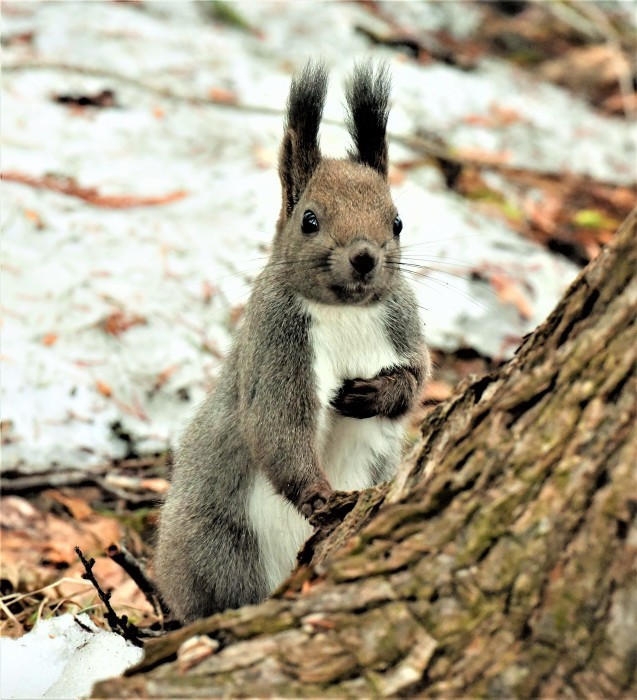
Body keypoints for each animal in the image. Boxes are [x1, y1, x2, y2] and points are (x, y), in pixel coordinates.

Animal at [155, 63, 428, 620]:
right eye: (310, 219)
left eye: (396, 221)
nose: (365, 257)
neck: (344, 310)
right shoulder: (277, 341)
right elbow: (276, 423)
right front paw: (317, 496)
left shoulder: (401, 321)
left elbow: (417, 377)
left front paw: (377, 394)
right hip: (219, 545)